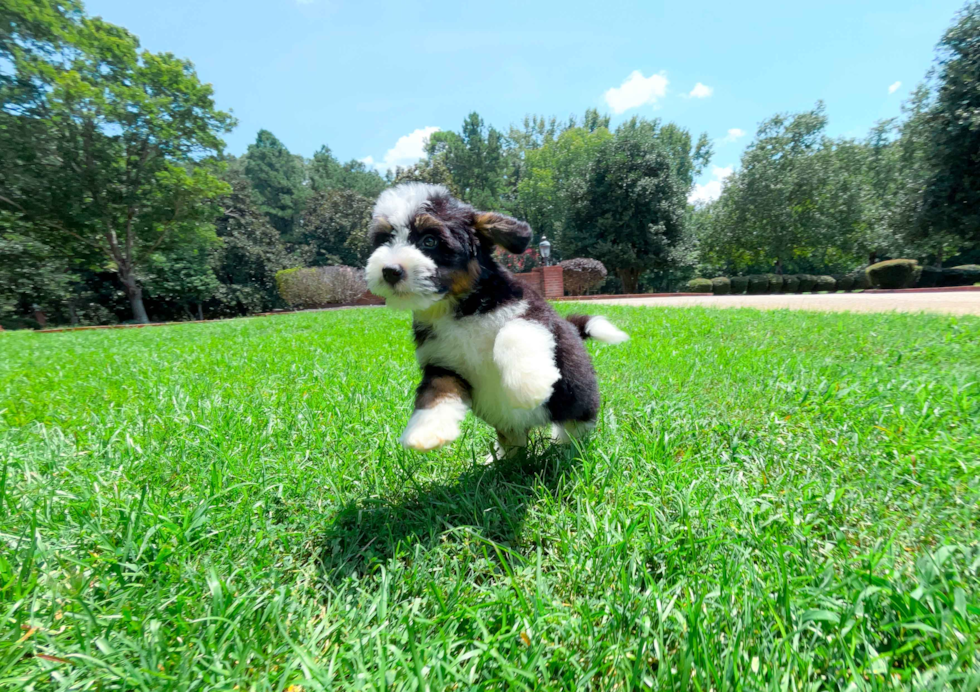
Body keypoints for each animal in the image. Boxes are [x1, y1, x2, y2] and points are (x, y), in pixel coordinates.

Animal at [366, 181, 628, 456]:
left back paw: (562, 445)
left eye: (429, 240)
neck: (459, 308)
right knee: (513, 439)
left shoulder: (534, 313)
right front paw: (425, 430)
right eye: (385, 239)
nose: (390, 271)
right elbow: (435, 393)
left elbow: (513, 330)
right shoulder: (442, 364)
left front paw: (528, 385)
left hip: (578, 401)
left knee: (574, 427)